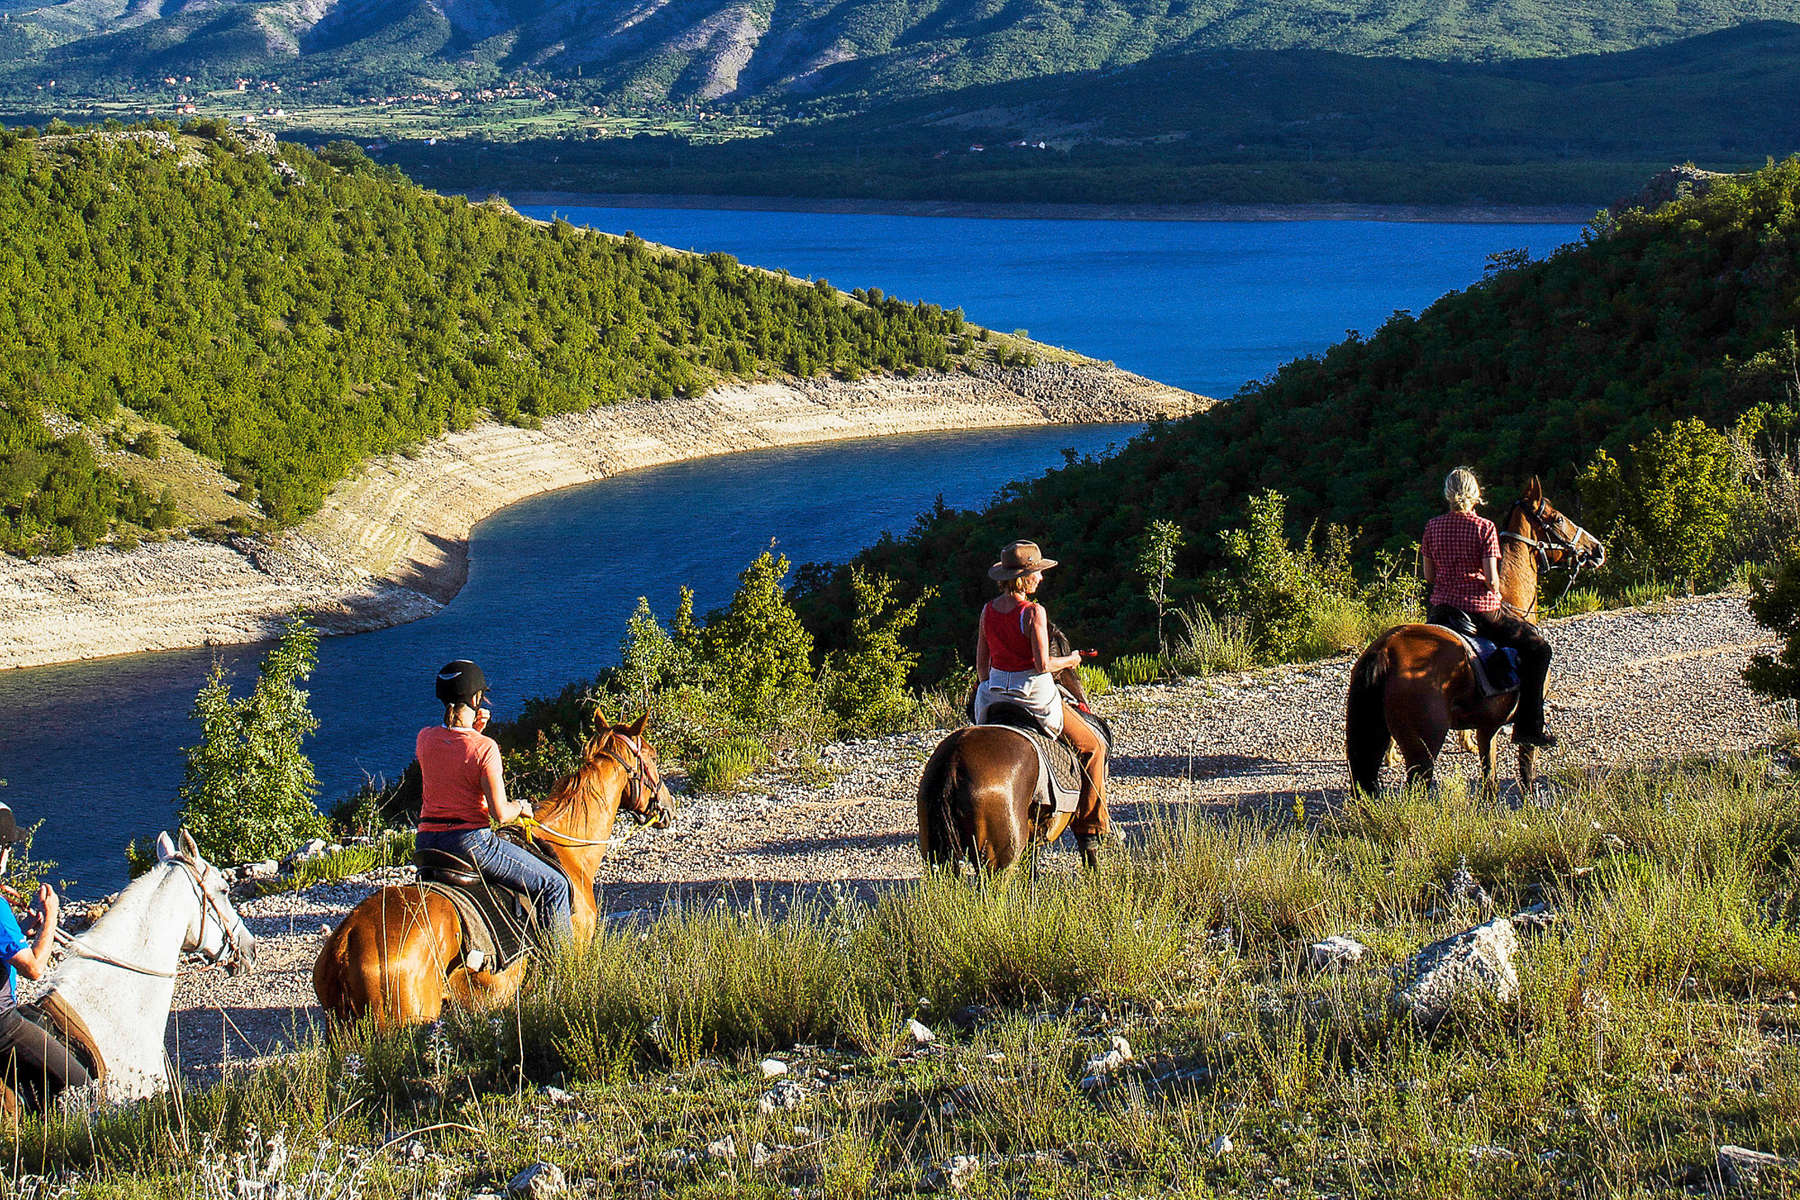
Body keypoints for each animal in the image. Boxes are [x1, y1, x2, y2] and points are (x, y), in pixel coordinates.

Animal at [1353, 474, 1605, 798]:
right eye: (1558, 518)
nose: (1597, 549)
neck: (1511, 600)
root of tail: (1384, 651)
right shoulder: (1508, 723)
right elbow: (1525, 769)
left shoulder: (1487, 727)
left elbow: (1489, 781)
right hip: (1423, 749)